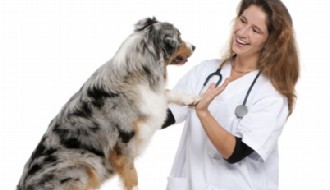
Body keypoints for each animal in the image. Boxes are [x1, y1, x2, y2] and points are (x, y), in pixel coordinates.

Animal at [16, 17, 199, 189]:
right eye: (178, 37)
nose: (195, 46)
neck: (138, 72)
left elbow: (166, 93)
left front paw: (190, 98)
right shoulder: (122, 144)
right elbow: (132, 177)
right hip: (84, 164)